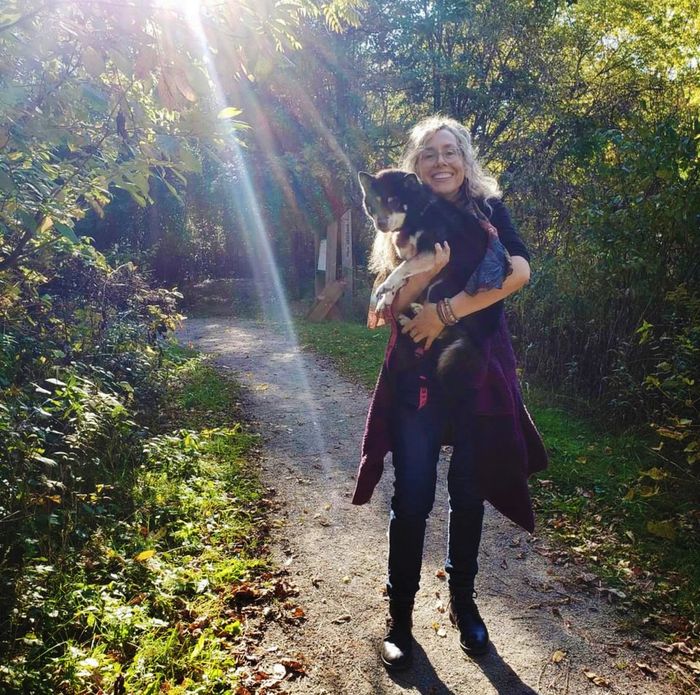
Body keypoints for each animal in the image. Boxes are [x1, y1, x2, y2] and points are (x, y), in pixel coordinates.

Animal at [358, 167, 500, 388]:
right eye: (374, 203)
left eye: (393, 201)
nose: (380, 224)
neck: (419, 212)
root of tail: (481, 335)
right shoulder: (411, 257)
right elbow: (401, 278)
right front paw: (385, 300)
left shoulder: (431, 252)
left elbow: (400, 270)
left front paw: (385, 287)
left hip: (440, 287)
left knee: (443, 330)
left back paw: (414, 314)